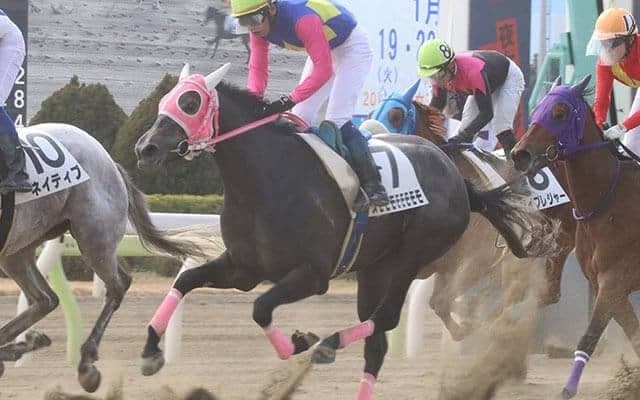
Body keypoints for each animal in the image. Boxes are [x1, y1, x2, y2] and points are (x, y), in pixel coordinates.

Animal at [0, 123, 201, 393]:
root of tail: (108, 159)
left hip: (94, 237)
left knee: (118, 284)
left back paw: (86, 362)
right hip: (18, 247)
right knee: (46, 299)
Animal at [134, 63, 553, 399]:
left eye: (190, 102)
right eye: (167, 100)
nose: (144, 148)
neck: (265, 180)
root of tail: (454, 174)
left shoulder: (312, 275)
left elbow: (260, 308)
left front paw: (301, 342)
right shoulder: (243, 269)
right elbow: (186, 280)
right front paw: (151, 350)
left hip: (413, 256)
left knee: (386, 319)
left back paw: (328, 343)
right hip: (374, 268)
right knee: (377, 343)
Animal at [363, 83, 575, 340]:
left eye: (397, 115)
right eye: (371, 113)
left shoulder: (475, 260)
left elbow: (442, 302)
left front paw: (470, 328)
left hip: (552, 247)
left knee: (541, 292)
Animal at [511, 75, 640, 399]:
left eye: (559, 112)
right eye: (537, 108)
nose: (520, 154)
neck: (608, 202)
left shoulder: (614, 280)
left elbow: (589, 337)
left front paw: (568, 388)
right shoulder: (609, 286)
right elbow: (634, 334)